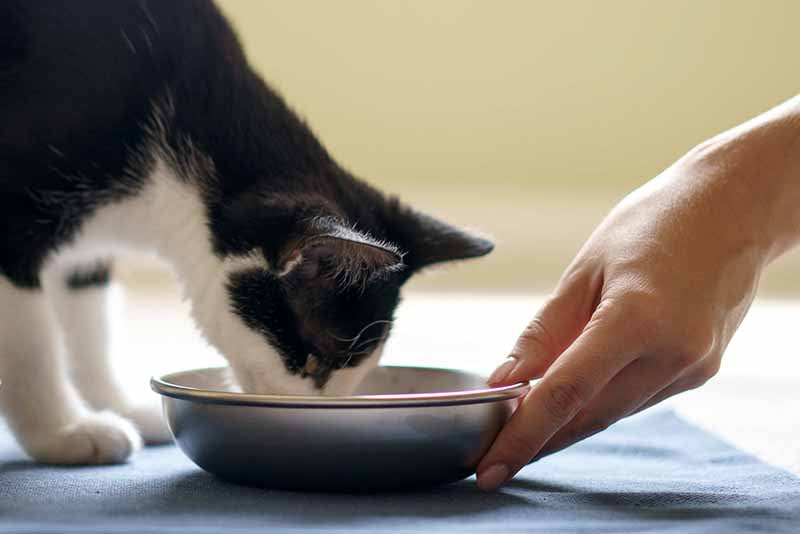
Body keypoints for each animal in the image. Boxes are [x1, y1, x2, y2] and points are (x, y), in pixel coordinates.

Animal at [0, 0, 494, 466]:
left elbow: (88, 314)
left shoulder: (89, 247)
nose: (325, 411)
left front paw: (115, 403)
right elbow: (30, 343)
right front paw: (64, 432)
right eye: (313, 359)